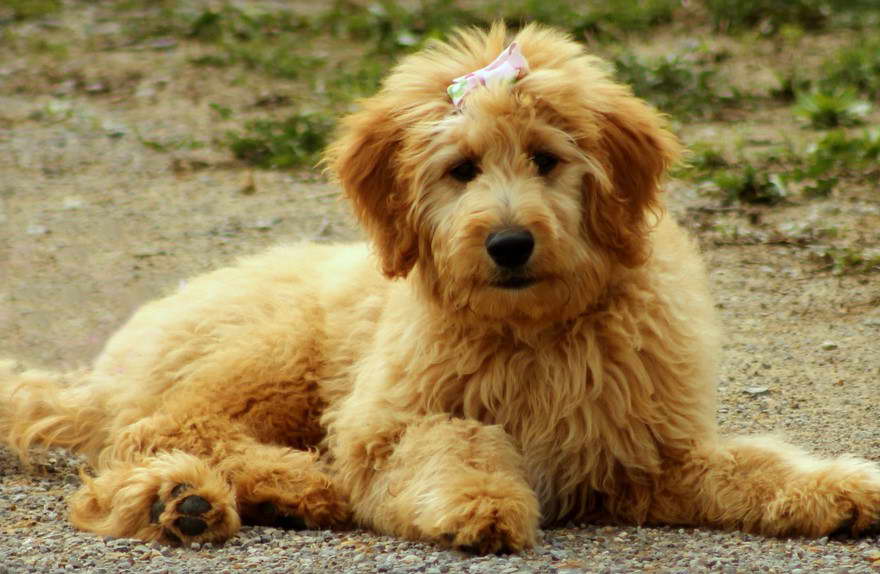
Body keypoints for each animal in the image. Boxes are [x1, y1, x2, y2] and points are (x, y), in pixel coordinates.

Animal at [1, 24, 880, 556]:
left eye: (547, 159)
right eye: (461, 170)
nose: (510, 243)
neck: (533, 331)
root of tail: (109, 366)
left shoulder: (644, 454)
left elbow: (751, 464)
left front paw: (835, 486)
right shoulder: (384, 422)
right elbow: (455, 437)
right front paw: (480, 500)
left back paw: (211, 501)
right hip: (271, 353)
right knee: (156, 431)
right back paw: (231, 493)